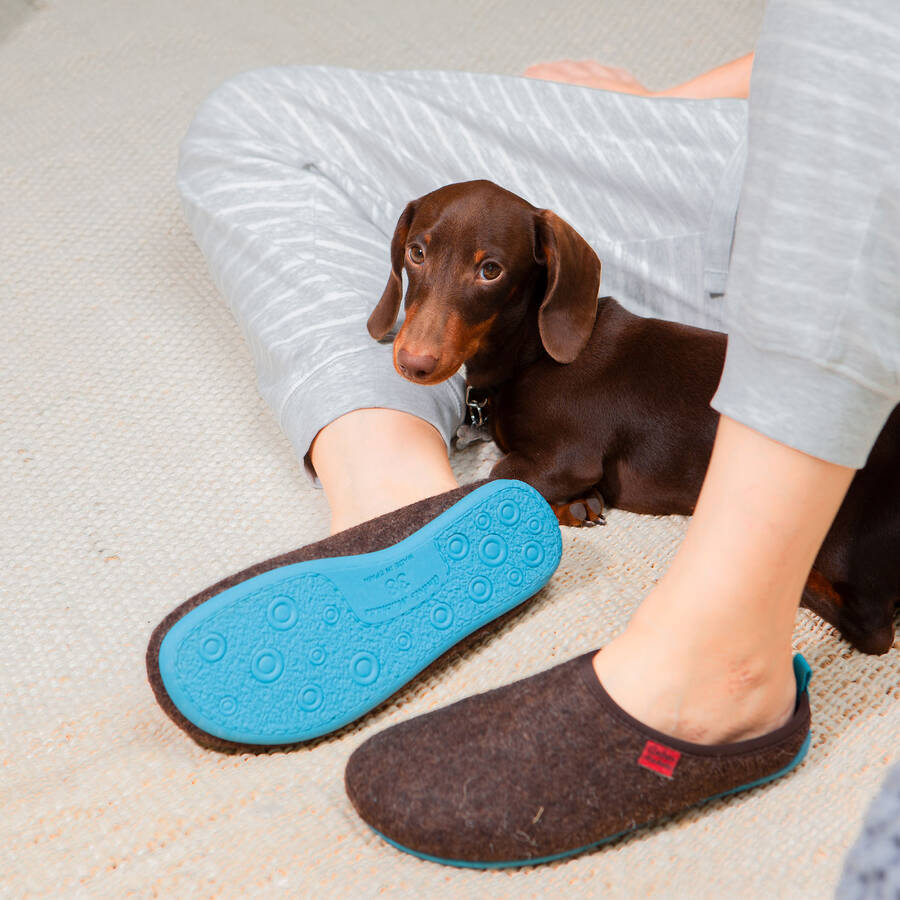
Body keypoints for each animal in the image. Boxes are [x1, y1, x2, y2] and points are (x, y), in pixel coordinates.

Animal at [368, 179, 900, 652]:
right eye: (416, 253)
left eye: (491, 270)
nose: (414, 363)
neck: (531, 352)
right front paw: (576, 505)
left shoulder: (571, 454)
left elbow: (499, 476)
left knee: (870, 626)